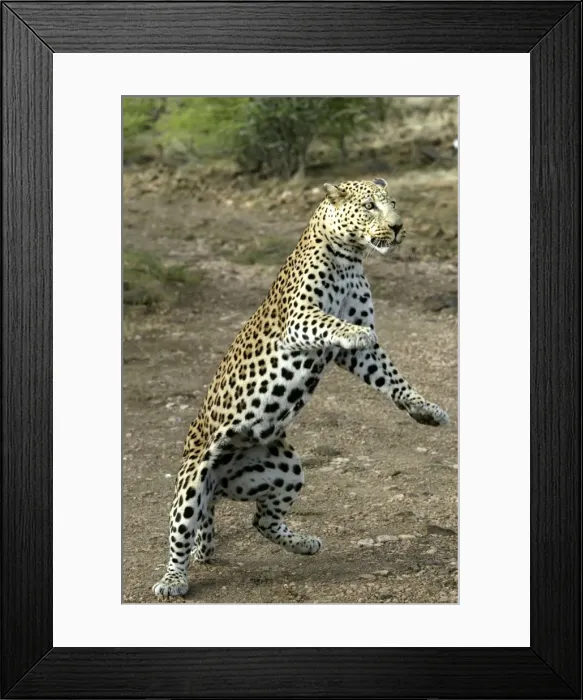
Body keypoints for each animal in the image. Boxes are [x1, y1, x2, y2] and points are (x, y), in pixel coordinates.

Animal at [152, 177, 449, 599]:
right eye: (370, 207)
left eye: (392, 203)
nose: (397, 227)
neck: (349, 258)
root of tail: (218, 486)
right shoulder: (299, 320)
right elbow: (333, 323)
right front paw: (356, 332)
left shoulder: (360, 357)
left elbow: (391, 377)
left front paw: (425, 410)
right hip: (192, 480)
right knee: (180, 534)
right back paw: (173, 579)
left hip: (287, 468)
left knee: (261, 520)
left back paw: (305, 543)